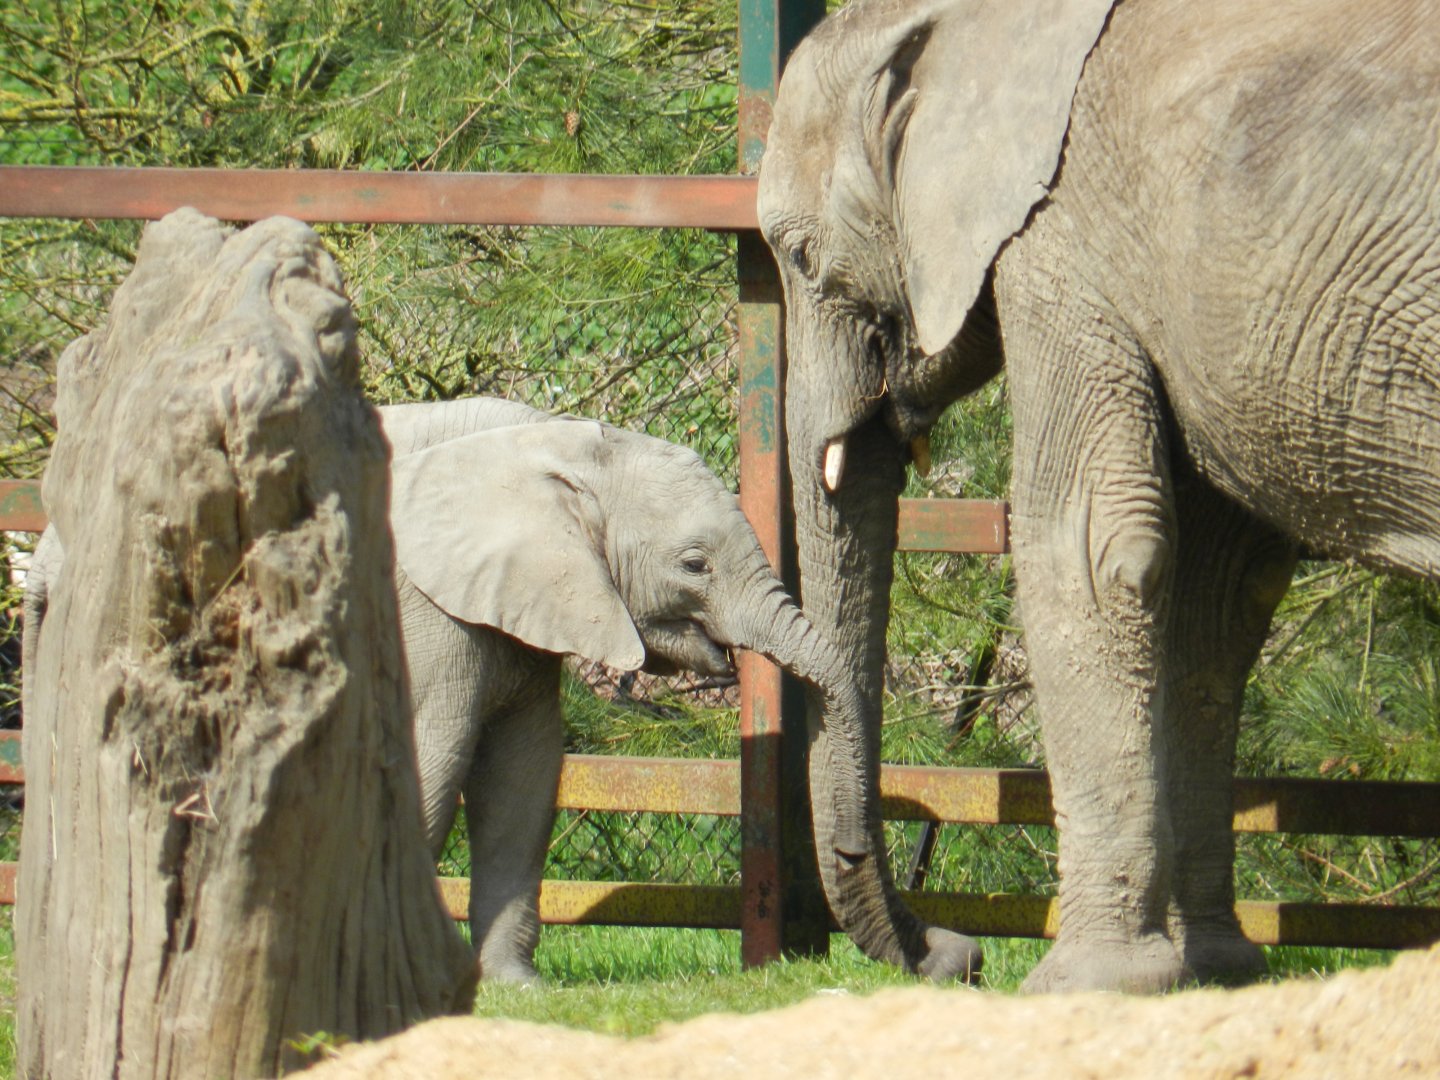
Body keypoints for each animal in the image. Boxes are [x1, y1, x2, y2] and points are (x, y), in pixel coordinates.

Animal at [376, 396, 869, 984]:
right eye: (695, 565)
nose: (850, 851)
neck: (546, 438)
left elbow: (523, 777)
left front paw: (516, 985)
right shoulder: (428, 610)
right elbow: (433, 762)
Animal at [756, 0, 1440, 992]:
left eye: (802, 257)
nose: (957, 957)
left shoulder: (1059, 238)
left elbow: (1082, 545)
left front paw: (1082, 986)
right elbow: (1214, 599)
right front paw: (1216, 972)